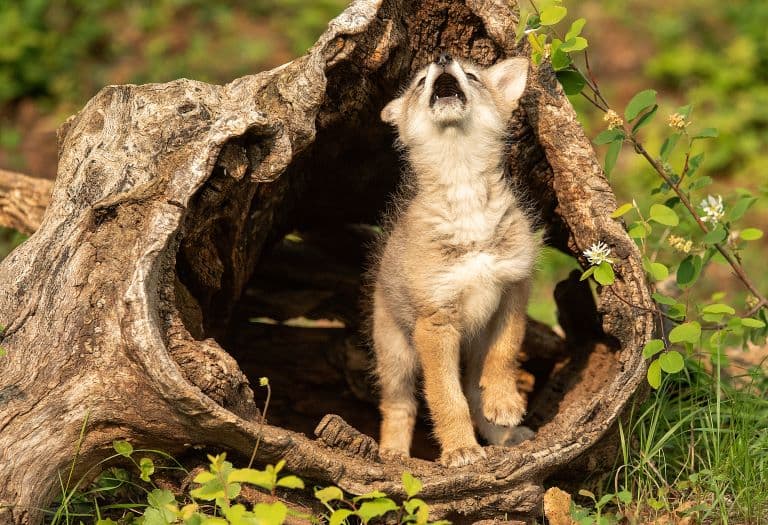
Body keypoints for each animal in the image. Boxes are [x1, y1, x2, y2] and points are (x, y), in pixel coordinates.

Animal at [372, 52, 537, 467]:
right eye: (419, 83)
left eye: (474, 75)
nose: (442, 57)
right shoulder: (436, 323)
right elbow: (446, 399)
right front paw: (461, 449)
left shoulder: (514, 288)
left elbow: (505, 355)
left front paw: (505, 404)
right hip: (396, 358)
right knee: (398, 406)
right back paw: (392, 454)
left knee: (475, 391)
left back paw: (502, 435)